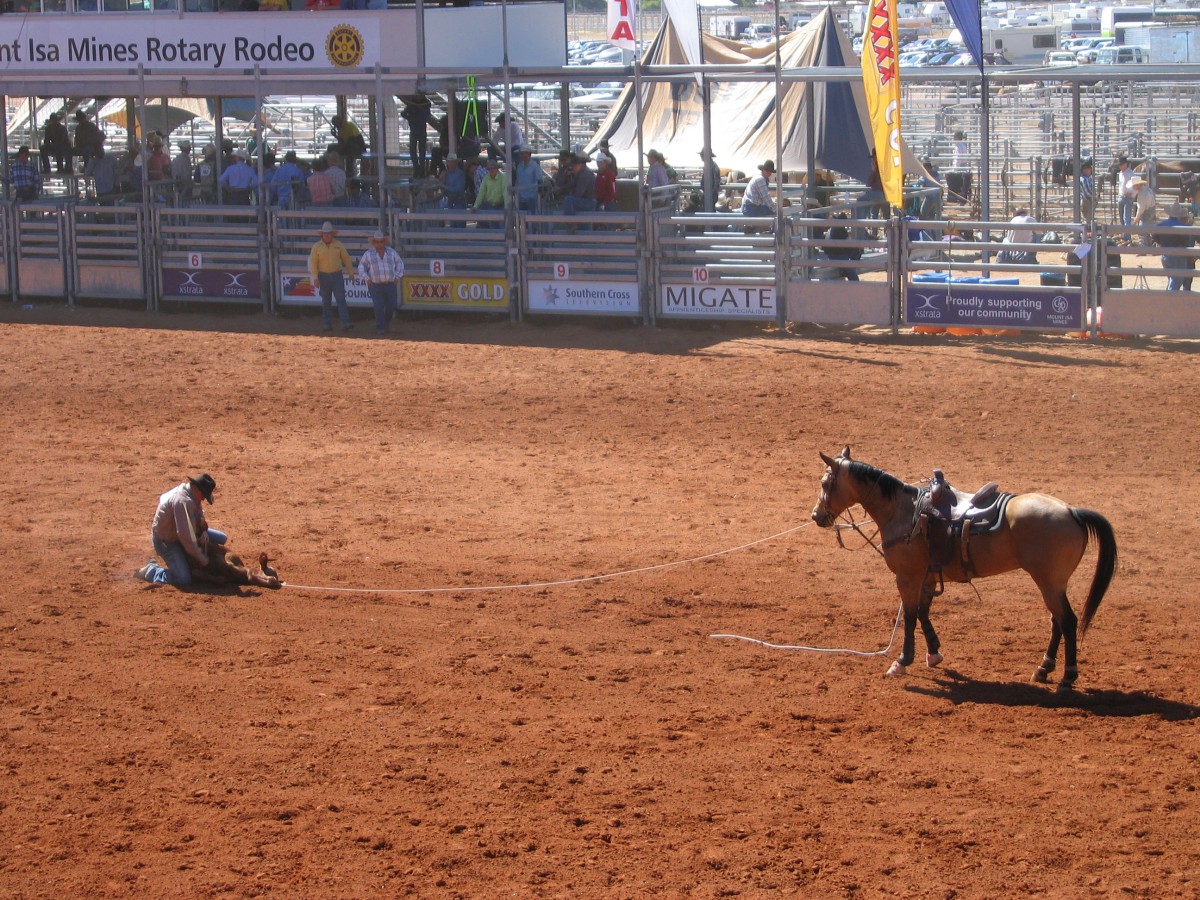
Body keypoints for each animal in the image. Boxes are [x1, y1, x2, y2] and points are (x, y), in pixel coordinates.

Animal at [811, 446, 1118, 691]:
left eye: (825, 482)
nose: (816, 516)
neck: (903, 512)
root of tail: (1071, 511)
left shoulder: (907, 577)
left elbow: (909, 616)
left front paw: (902, 661)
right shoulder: (927, 576)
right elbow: (923, 612)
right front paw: (934, 653)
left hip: (1050, 583)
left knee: (1068, 621)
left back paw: (1068, 677)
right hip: (1052, 584)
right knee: (1057, 621)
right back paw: (1043, 669)